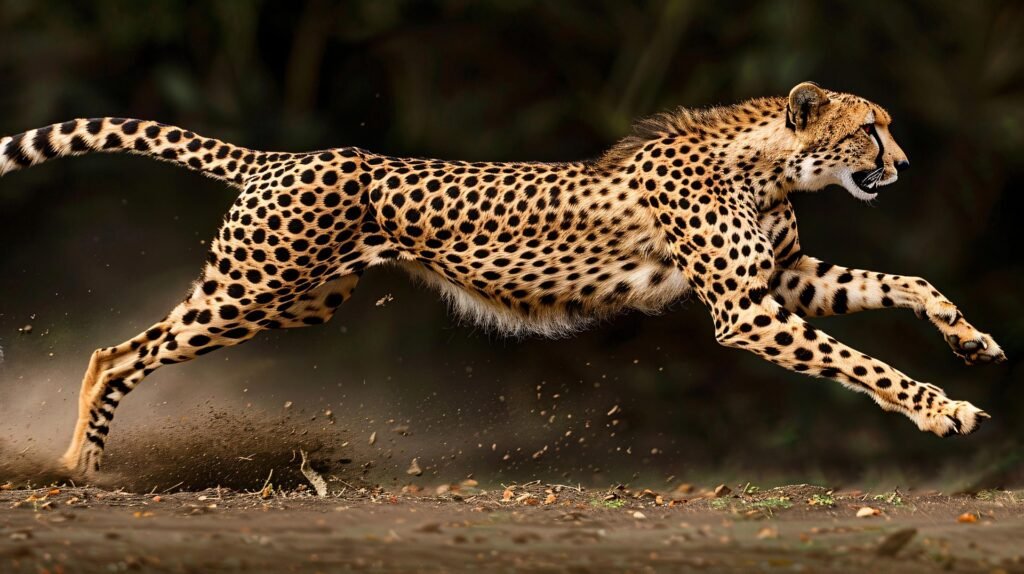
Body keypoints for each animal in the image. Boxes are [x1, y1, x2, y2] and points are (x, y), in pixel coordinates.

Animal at [0, 82, 1005, 477]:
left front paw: (974, 342)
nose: (903, 163)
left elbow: (907, 283)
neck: (768, 163)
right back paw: (77, 465)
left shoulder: (788, 281)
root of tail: (285, 156)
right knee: (116, 352)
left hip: (297, 301)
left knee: (133, 350)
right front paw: (943, 411)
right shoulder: (749, 312)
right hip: (250, 291)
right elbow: (863, 362)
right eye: (870, 129)